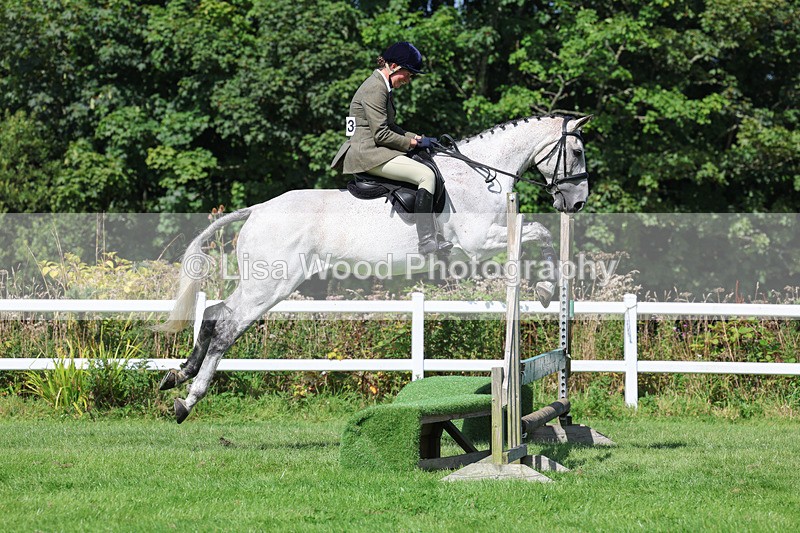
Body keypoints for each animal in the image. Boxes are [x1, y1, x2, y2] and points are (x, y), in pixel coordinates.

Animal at [156, 114, 592, 423]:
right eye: (576, 152)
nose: (577, 203)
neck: (478, 175)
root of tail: (259, 209)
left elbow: (539, 234)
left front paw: (545, 291)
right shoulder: (478, 241)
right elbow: (539, 231)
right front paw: (546, 291)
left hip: (261, 282)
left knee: (215, 314)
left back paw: (178, 374)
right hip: (272, 285)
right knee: (228, 327)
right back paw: (189, 399)